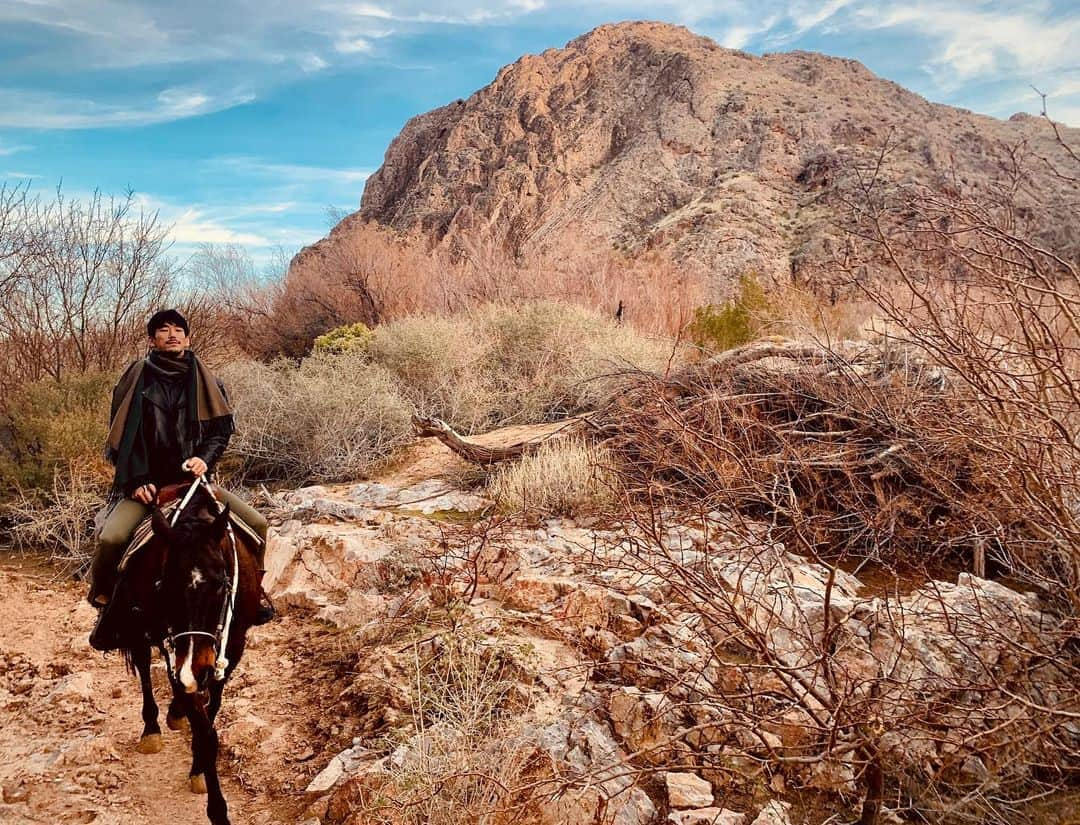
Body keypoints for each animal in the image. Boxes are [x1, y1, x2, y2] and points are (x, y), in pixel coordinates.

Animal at [104, 479, 260, 825]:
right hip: (140, 628)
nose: (196, 669)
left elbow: (210, 716)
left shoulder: (232, 648)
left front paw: (198, 769)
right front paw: (217, 809)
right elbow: (205, 730)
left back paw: (175, 712)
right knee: (145, 667)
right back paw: (152, 729)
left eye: (221, 584)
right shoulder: (175, 648)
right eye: (165, 587)